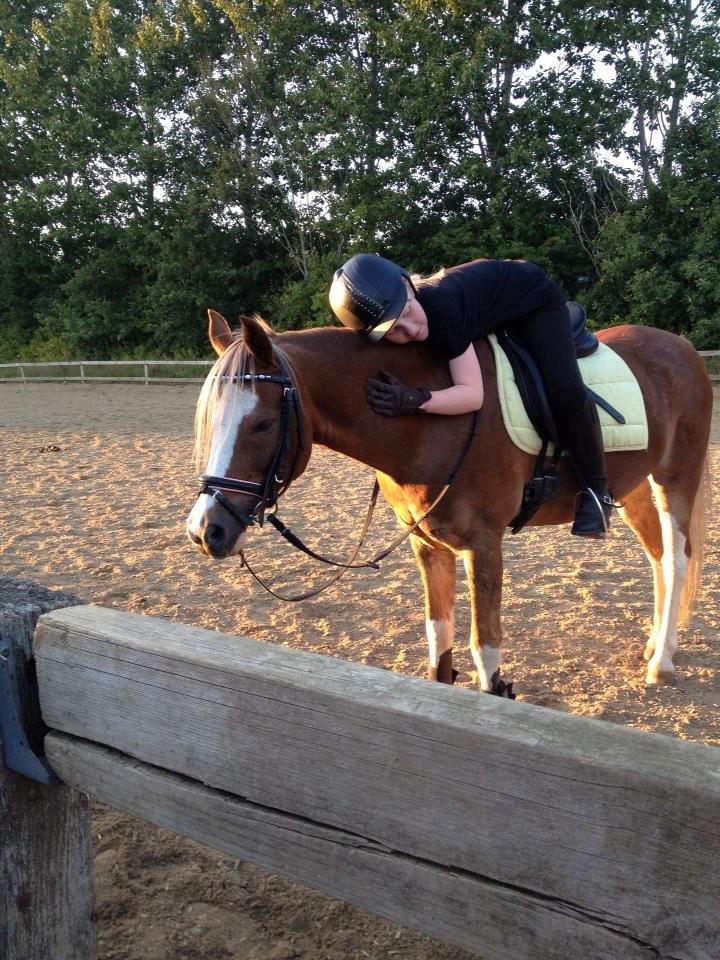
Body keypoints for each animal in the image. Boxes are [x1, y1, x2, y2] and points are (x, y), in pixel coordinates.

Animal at [187, 309, 713, 695]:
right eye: (210, 420)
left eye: (262, 424)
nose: (205, 530)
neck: (427, 427)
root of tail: (682, 347)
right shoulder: (428, 545)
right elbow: (439, 640)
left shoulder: (484, 545)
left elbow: (485, 651)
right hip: (633, 486)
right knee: (658, 559)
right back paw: (653, 645)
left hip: (675, 479)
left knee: (678, 559)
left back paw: (662, 662)